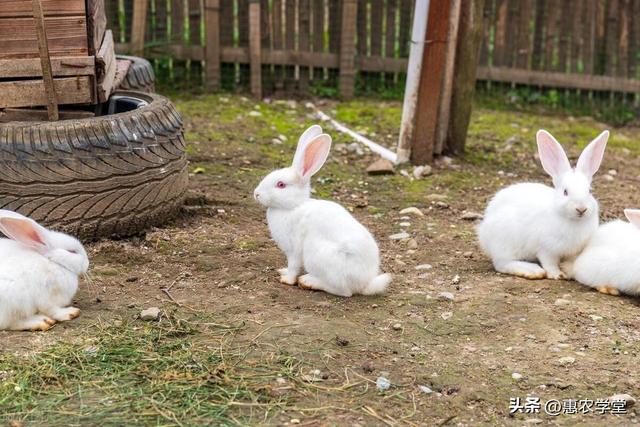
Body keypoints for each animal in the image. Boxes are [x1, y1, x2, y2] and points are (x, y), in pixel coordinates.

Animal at [254, 123, 392, 298]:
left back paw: (309, 281)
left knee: (344, 291)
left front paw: (286, 279)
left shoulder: (294, 250)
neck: (292, 206)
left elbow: (293, 267)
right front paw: (282, 271)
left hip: (316, 255)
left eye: (281, 184)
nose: (256, 194)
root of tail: (365, 283)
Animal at [478, 132, 608, 282]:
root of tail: (484, 233)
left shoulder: (573, 252)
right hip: (504, 241)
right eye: (565, 192)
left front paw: (568, 272)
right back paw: (531, 270)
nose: (581, 209)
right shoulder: (546, 249)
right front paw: (557, 275)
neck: (573, 222)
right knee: (502, 263)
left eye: (590, 191)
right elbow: (549, 263)